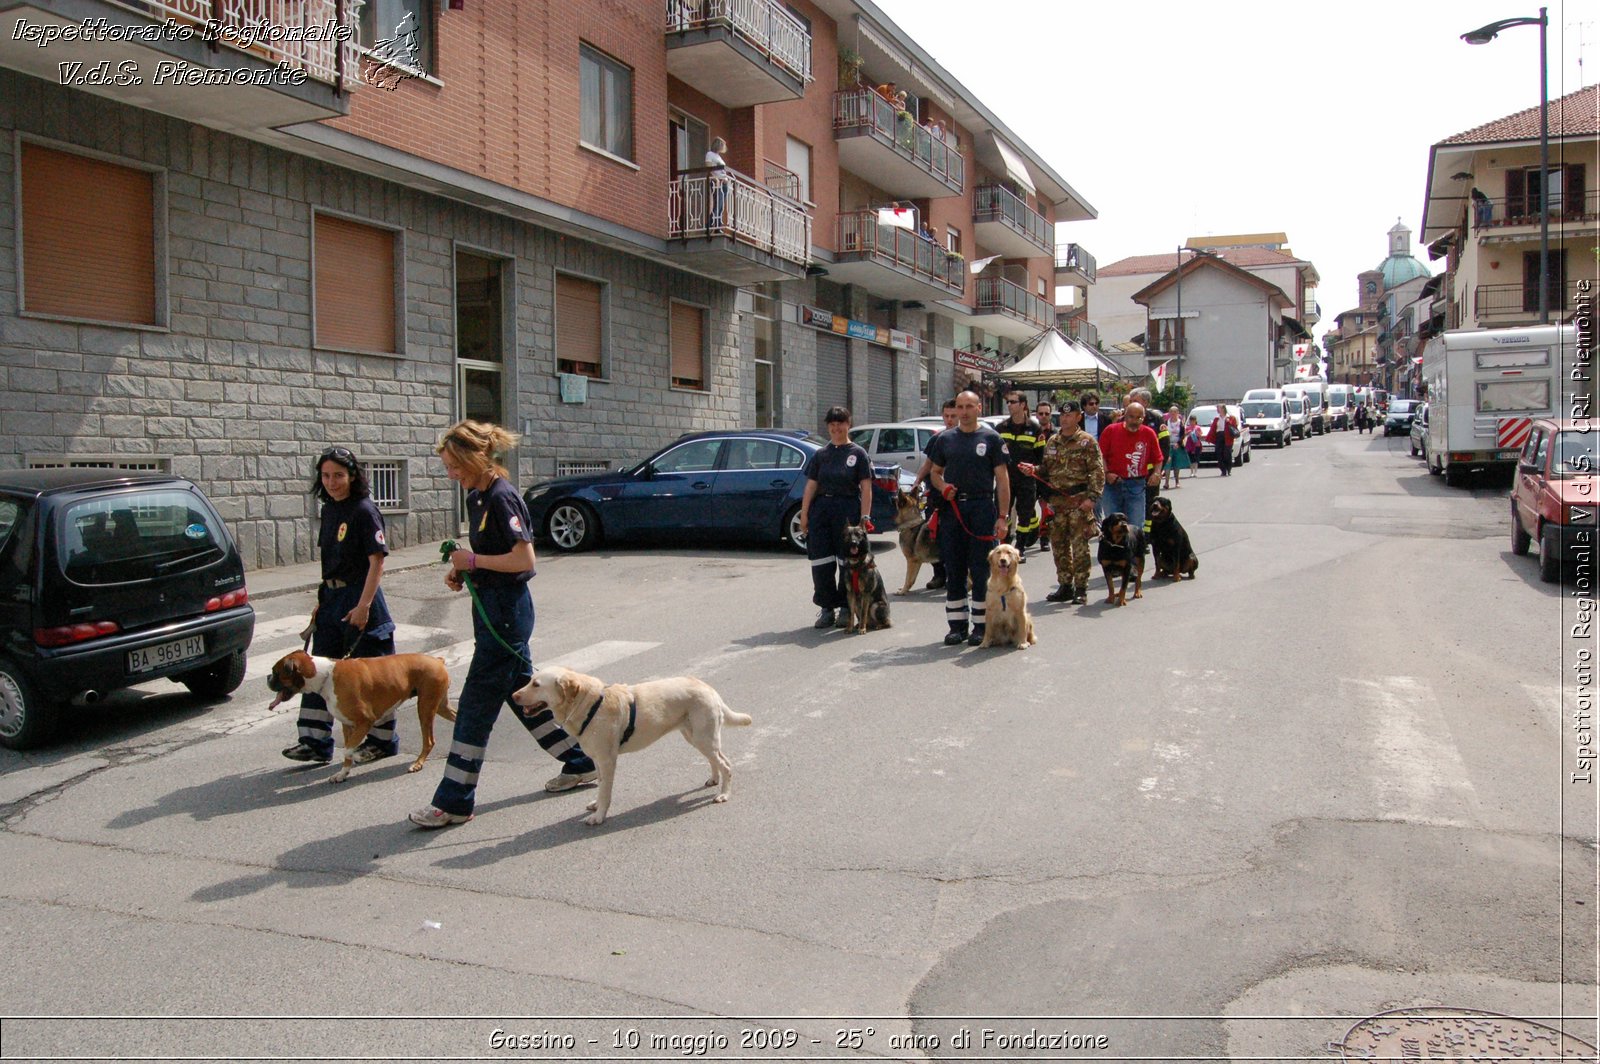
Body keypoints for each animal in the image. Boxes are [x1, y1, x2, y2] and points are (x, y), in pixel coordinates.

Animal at [262, 646, 451, 780]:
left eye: (275, 672)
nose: (267, 678)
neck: (325, 675)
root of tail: (438, 660)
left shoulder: (365, 721)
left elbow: (347, 750)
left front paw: (357, 756)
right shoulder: (348, 724)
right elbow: (347, 750)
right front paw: (342, 774)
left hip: (425, 708)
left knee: (429, 741)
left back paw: (418, 763)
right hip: (440, 707)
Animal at [518, 665, 755, 819]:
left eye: (536, 684)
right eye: (529, 681)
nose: (513, 696)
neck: (587, 704)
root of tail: (709, 688)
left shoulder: (607, 760)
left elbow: (606, 791)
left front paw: (600, 816)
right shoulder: (597, 760)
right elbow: (601, 785)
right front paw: (596, 805)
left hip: (703, 737)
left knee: (726, 764)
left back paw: (723, 794)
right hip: (696, 737)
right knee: (716, 760)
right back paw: (714, 780)